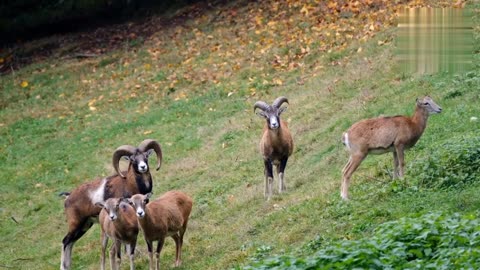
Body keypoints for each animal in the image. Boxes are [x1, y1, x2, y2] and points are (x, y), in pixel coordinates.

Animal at [59, 139, 161, 270]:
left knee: (70, 243)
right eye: (132, 159)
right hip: (76, 224)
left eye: (146, 156)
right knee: (65, 241)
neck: (131, 184)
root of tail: (68, 196)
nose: (143, 167)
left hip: (84, 226)